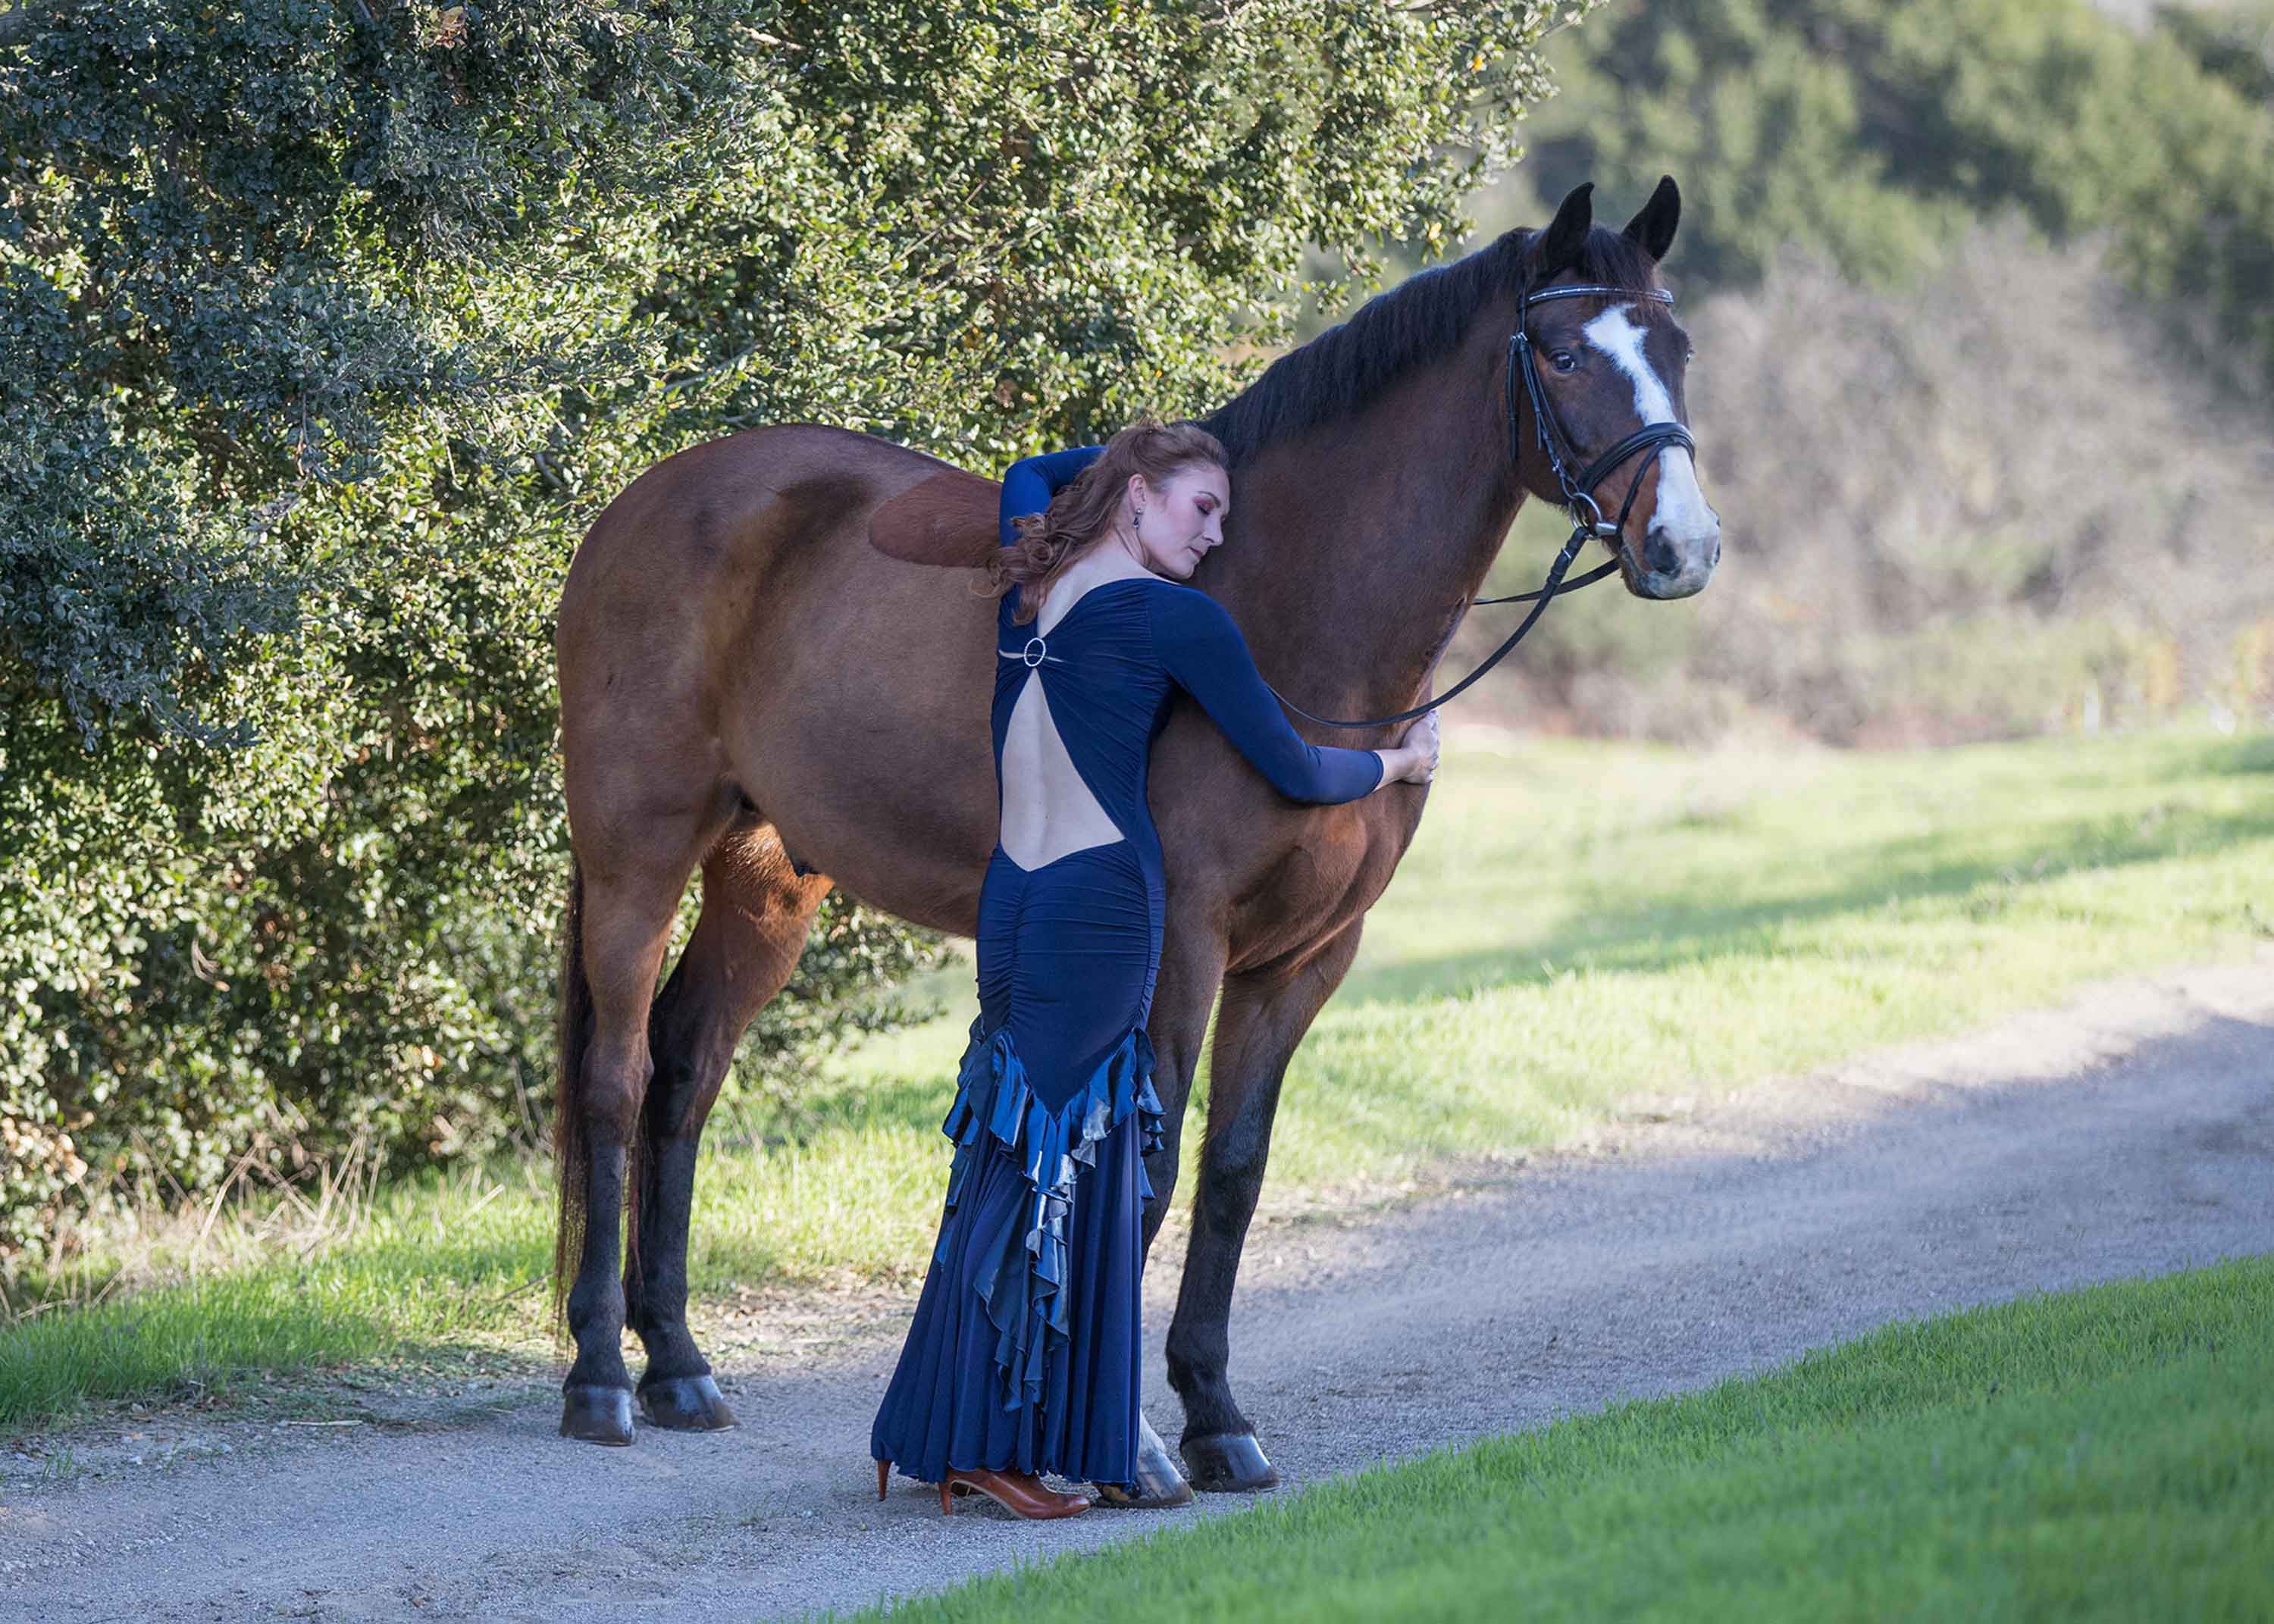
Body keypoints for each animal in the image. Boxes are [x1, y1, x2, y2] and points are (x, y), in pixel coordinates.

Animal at [555, 180, 1719, 1491]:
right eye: (1566, 353)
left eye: (1676, 345)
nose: (1684, 546)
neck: (1285, 613)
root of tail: (640, 504)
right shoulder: (1187, 942)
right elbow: (1146, 1169)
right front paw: (1139, 1440)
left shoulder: (1305, 959)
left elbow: (1232, 1173)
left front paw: (1215, 1414)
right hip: (636, 856)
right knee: (615, 1080)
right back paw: (600, 1377)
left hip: (764, 878)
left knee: (684, 1073)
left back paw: (676, 1361)